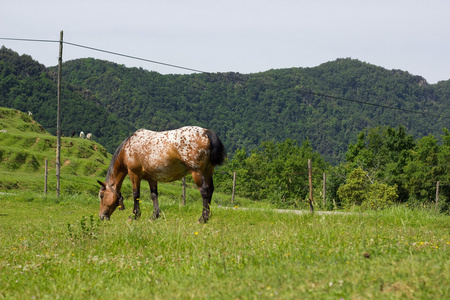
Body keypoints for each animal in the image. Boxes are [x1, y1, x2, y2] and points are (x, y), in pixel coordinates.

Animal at [97, 126, 225, 223]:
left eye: (102, 196)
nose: (101, 216)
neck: (128, 148)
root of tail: (205, 132)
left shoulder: (134, 174)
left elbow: (136, 194)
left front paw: (135, 215)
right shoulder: (151, 178)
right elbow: (154, 195)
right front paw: (155, 215)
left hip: (196, 172)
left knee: (204, 192)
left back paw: (202, 218)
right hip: (208, 171)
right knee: (210, 190)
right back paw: (207, 216)